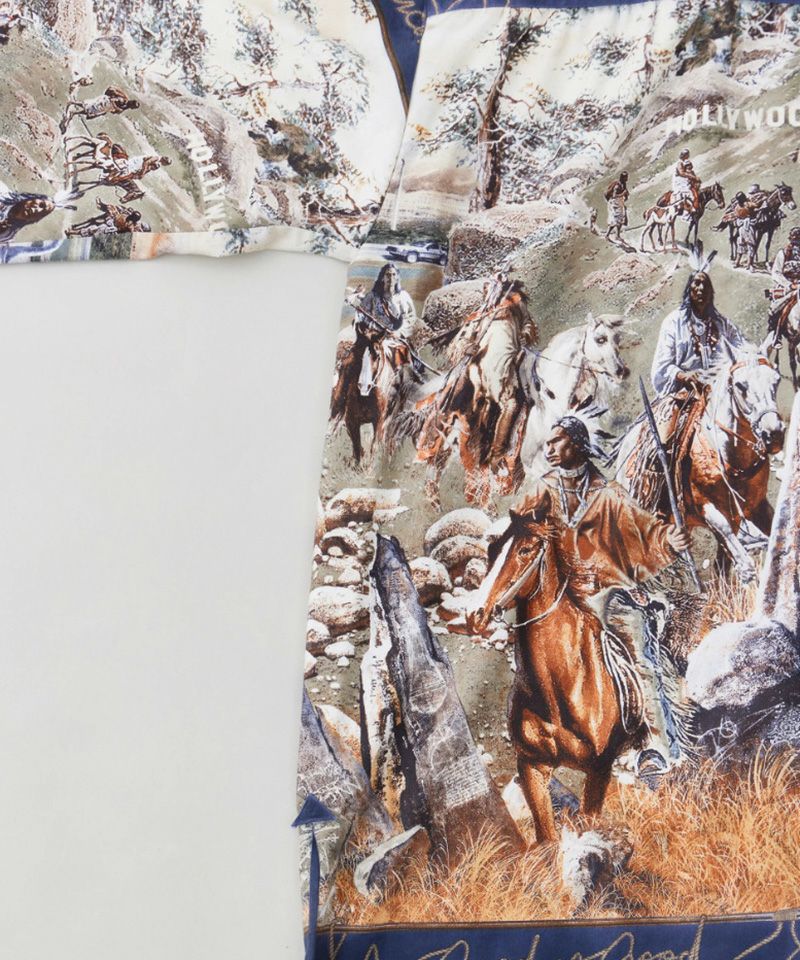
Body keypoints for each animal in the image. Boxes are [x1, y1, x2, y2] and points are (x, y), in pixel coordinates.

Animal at [466, 514, 649, 843]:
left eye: (525, 550)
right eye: (492, 550)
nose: (474, 614)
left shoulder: (599, 770)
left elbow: (589, 827)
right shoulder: (531, 766)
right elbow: (548, 839)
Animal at [614, 346, 784, 583]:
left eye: (776, 380)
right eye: (741, 386)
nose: (773, 433)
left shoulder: (756, 506)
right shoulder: (709, 511)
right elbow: (743, 561)